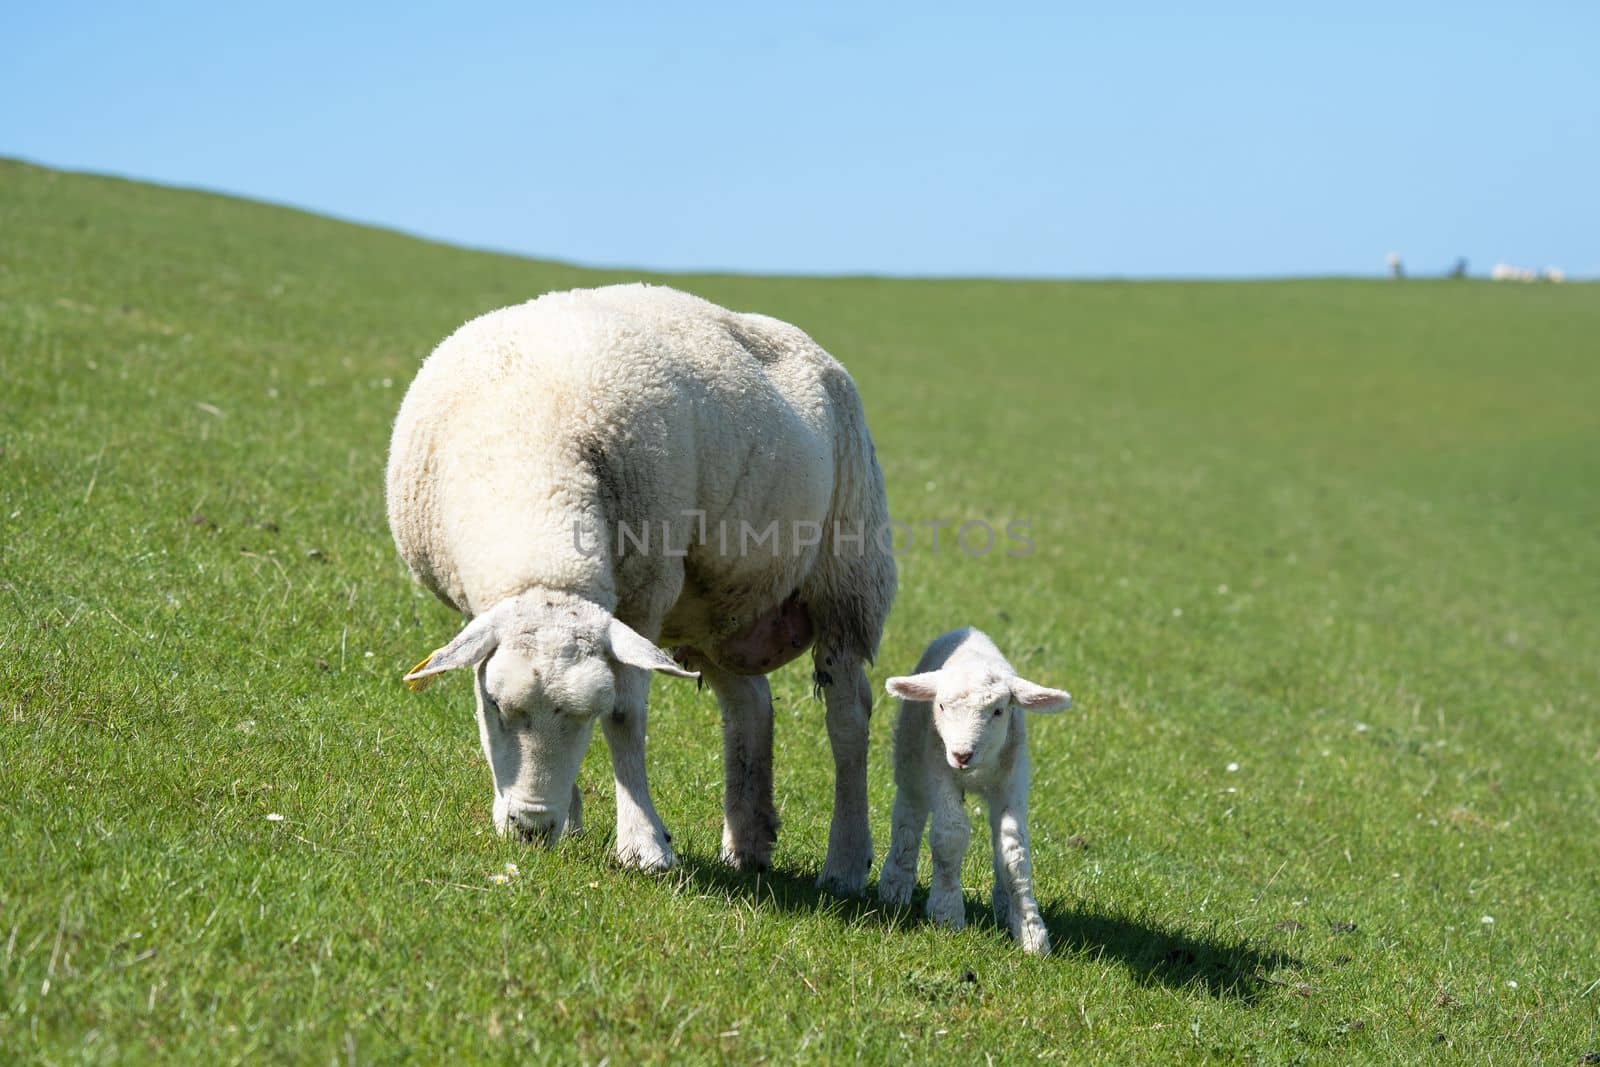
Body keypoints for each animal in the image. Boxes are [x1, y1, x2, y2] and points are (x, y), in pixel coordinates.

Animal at [382, 281, 896, 895]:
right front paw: (572, 822)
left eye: (585, 714)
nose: (531, 828)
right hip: (710, 608)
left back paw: (845, 863)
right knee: (749, 704)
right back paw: (747, 844)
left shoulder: (642, 599)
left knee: (848, 716)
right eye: (494, 706)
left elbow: (626, 716)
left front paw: (643, 847)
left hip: (848, 572)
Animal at [876, 630, 1075, 953]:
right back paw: (896, 883)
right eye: (941, 707)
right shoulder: (939, 767)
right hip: (910, 752)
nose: (961, 754)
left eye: (998, 711)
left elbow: (1014, 851)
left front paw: (1030, 931)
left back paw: (1004, 904)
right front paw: (946, 913)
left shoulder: (1012, 781)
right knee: (909, 812)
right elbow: (950, 833)